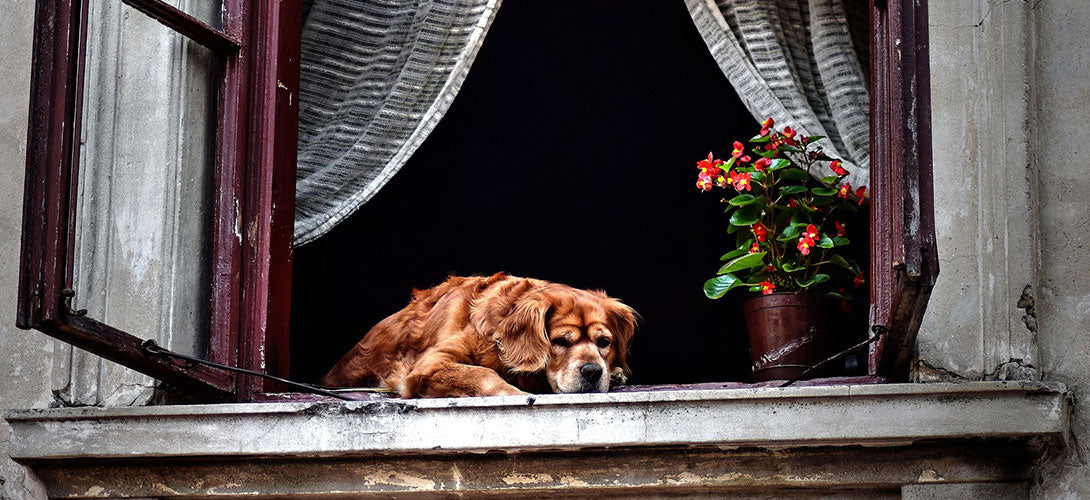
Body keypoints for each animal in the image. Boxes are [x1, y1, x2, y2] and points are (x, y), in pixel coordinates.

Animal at [318, 272, 636, 396]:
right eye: (560, 342)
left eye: (603, 342)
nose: (593, 371)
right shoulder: (429, 365)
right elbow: (482, 373)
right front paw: (512, 392)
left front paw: (615, 371)